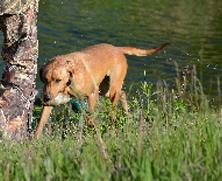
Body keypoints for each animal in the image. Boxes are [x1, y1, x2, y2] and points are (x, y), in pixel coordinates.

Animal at [33, 43, 167, 138]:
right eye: (45, 79)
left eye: (58, 80)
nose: (46, 97)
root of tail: (117, 49)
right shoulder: (51, 103)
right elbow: (40, 124)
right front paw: (35, 140)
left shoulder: (92, 93)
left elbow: (90, 117)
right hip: (105, 89)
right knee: (123, 93)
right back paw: (126, 113)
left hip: (110, 89)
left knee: (115, 105)